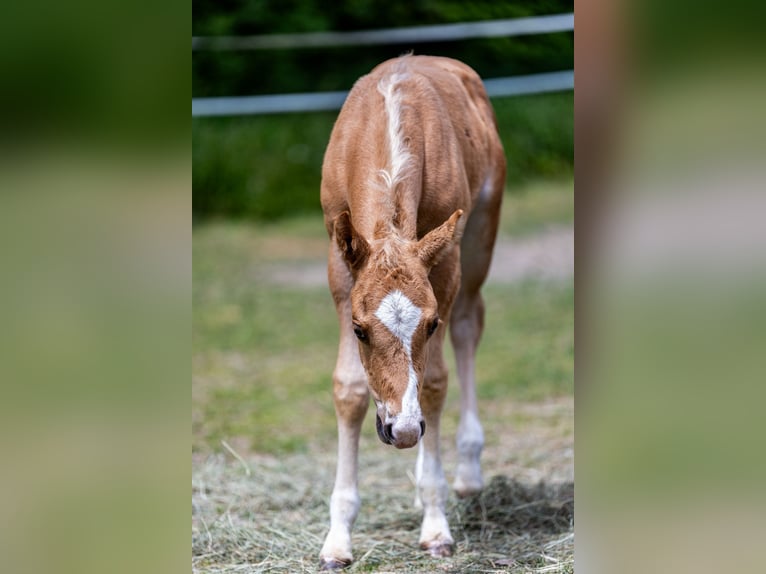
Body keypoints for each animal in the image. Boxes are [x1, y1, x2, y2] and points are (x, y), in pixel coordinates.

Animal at [319, 54, 506, 569]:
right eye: (359, 331)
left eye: (430, 323)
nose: (402, 430)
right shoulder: (340, 266)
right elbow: (349, 388)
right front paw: (337, 540)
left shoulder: (445, 263)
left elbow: (437, 381)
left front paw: (436, 527)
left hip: (481, 231)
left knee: (469, 325)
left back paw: (467, 470)